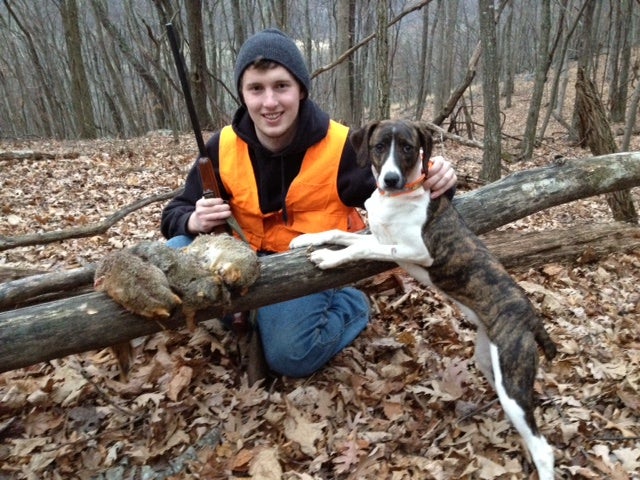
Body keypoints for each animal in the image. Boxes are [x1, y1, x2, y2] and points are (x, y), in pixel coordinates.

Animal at [292, 120, 556, 480]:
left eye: (407, 147)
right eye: (378, 147)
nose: (390, 179)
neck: (399, 196)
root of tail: (531, 316)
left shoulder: (415, 250)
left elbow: (360, 249)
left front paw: (328, 259)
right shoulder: (374, 233)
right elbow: (339, 234)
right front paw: (306, 238)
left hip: (512, 377)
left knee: (544, 447)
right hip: (490, 362)